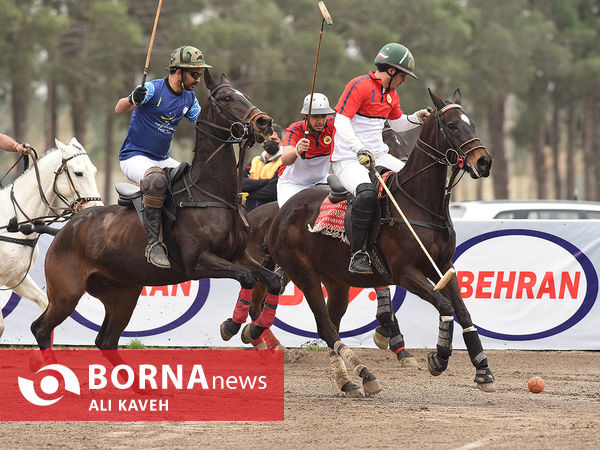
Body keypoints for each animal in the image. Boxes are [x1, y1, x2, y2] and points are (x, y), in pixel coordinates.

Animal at [0, 137, 102, 338]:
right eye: (78, 173)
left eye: (94, 170)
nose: (98, 209)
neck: (13, 222)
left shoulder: (15, 277)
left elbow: (45, 306)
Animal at [29, 70, 278, 356]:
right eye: (227, 98)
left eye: (245, 95)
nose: (264, 122)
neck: (211, 193)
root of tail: (65, 228)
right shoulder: (199, 261)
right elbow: (246, 278)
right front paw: (231, 326)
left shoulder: (238, 255)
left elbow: (272, 280)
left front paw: (255, 329)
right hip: (66, 291)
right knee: (41, 329)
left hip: (122, 293)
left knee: (106, 340)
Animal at [247, 89, 492, 398]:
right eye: (451, 126)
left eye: (471, 123)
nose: (484, 162)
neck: (420, 204)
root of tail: (280, 213)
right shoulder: (405, 272)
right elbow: (445, 307)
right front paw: (439, 357)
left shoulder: (443, 266)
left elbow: (463, 311)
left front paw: (483, 369)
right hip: (304, 274)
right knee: (323, 325)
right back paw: (364, 374)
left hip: (336, 281)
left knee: (329, 325)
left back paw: (347, 380)